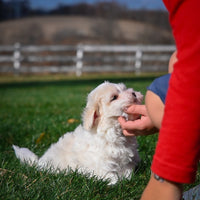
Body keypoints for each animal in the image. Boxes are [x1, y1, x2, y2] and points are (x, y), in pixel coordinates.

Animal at [12, 81, 142, 184]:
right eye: (114, 97)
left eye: (125, 89)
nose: (134, 93)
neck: (112, 129)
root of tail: (39, 162)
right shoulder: (100, 163)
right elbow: (109, 175)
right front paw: (116, 182)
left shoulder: (127, 160)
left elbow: (127, 171)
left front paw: (127, 179)